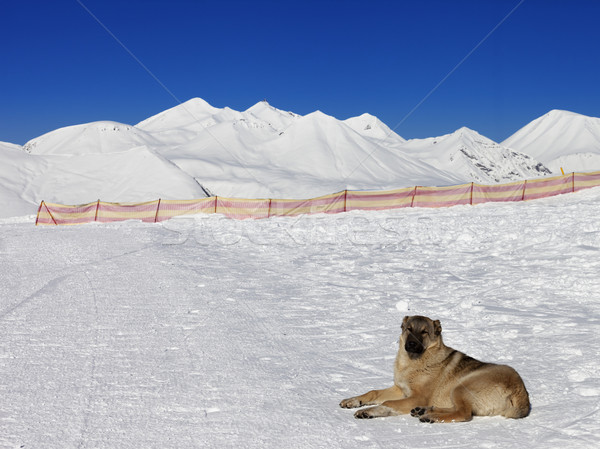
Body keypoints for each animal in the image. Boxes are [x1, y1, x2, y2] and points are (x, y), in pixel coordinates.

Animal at [340, 314, 532, 422]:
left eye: (424, 332)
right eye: (408, 329)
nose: (410, 344)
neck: (413, 362)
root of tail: (521, 392)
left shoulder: (417, 397)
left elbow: (387, 403)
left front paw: (368, 411)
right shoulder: (400, 389)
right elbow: (373, 392)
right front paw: (353, 401)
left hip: (461, 386)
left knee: (463, 413)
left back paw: (429, 416)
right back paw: (424, 411)